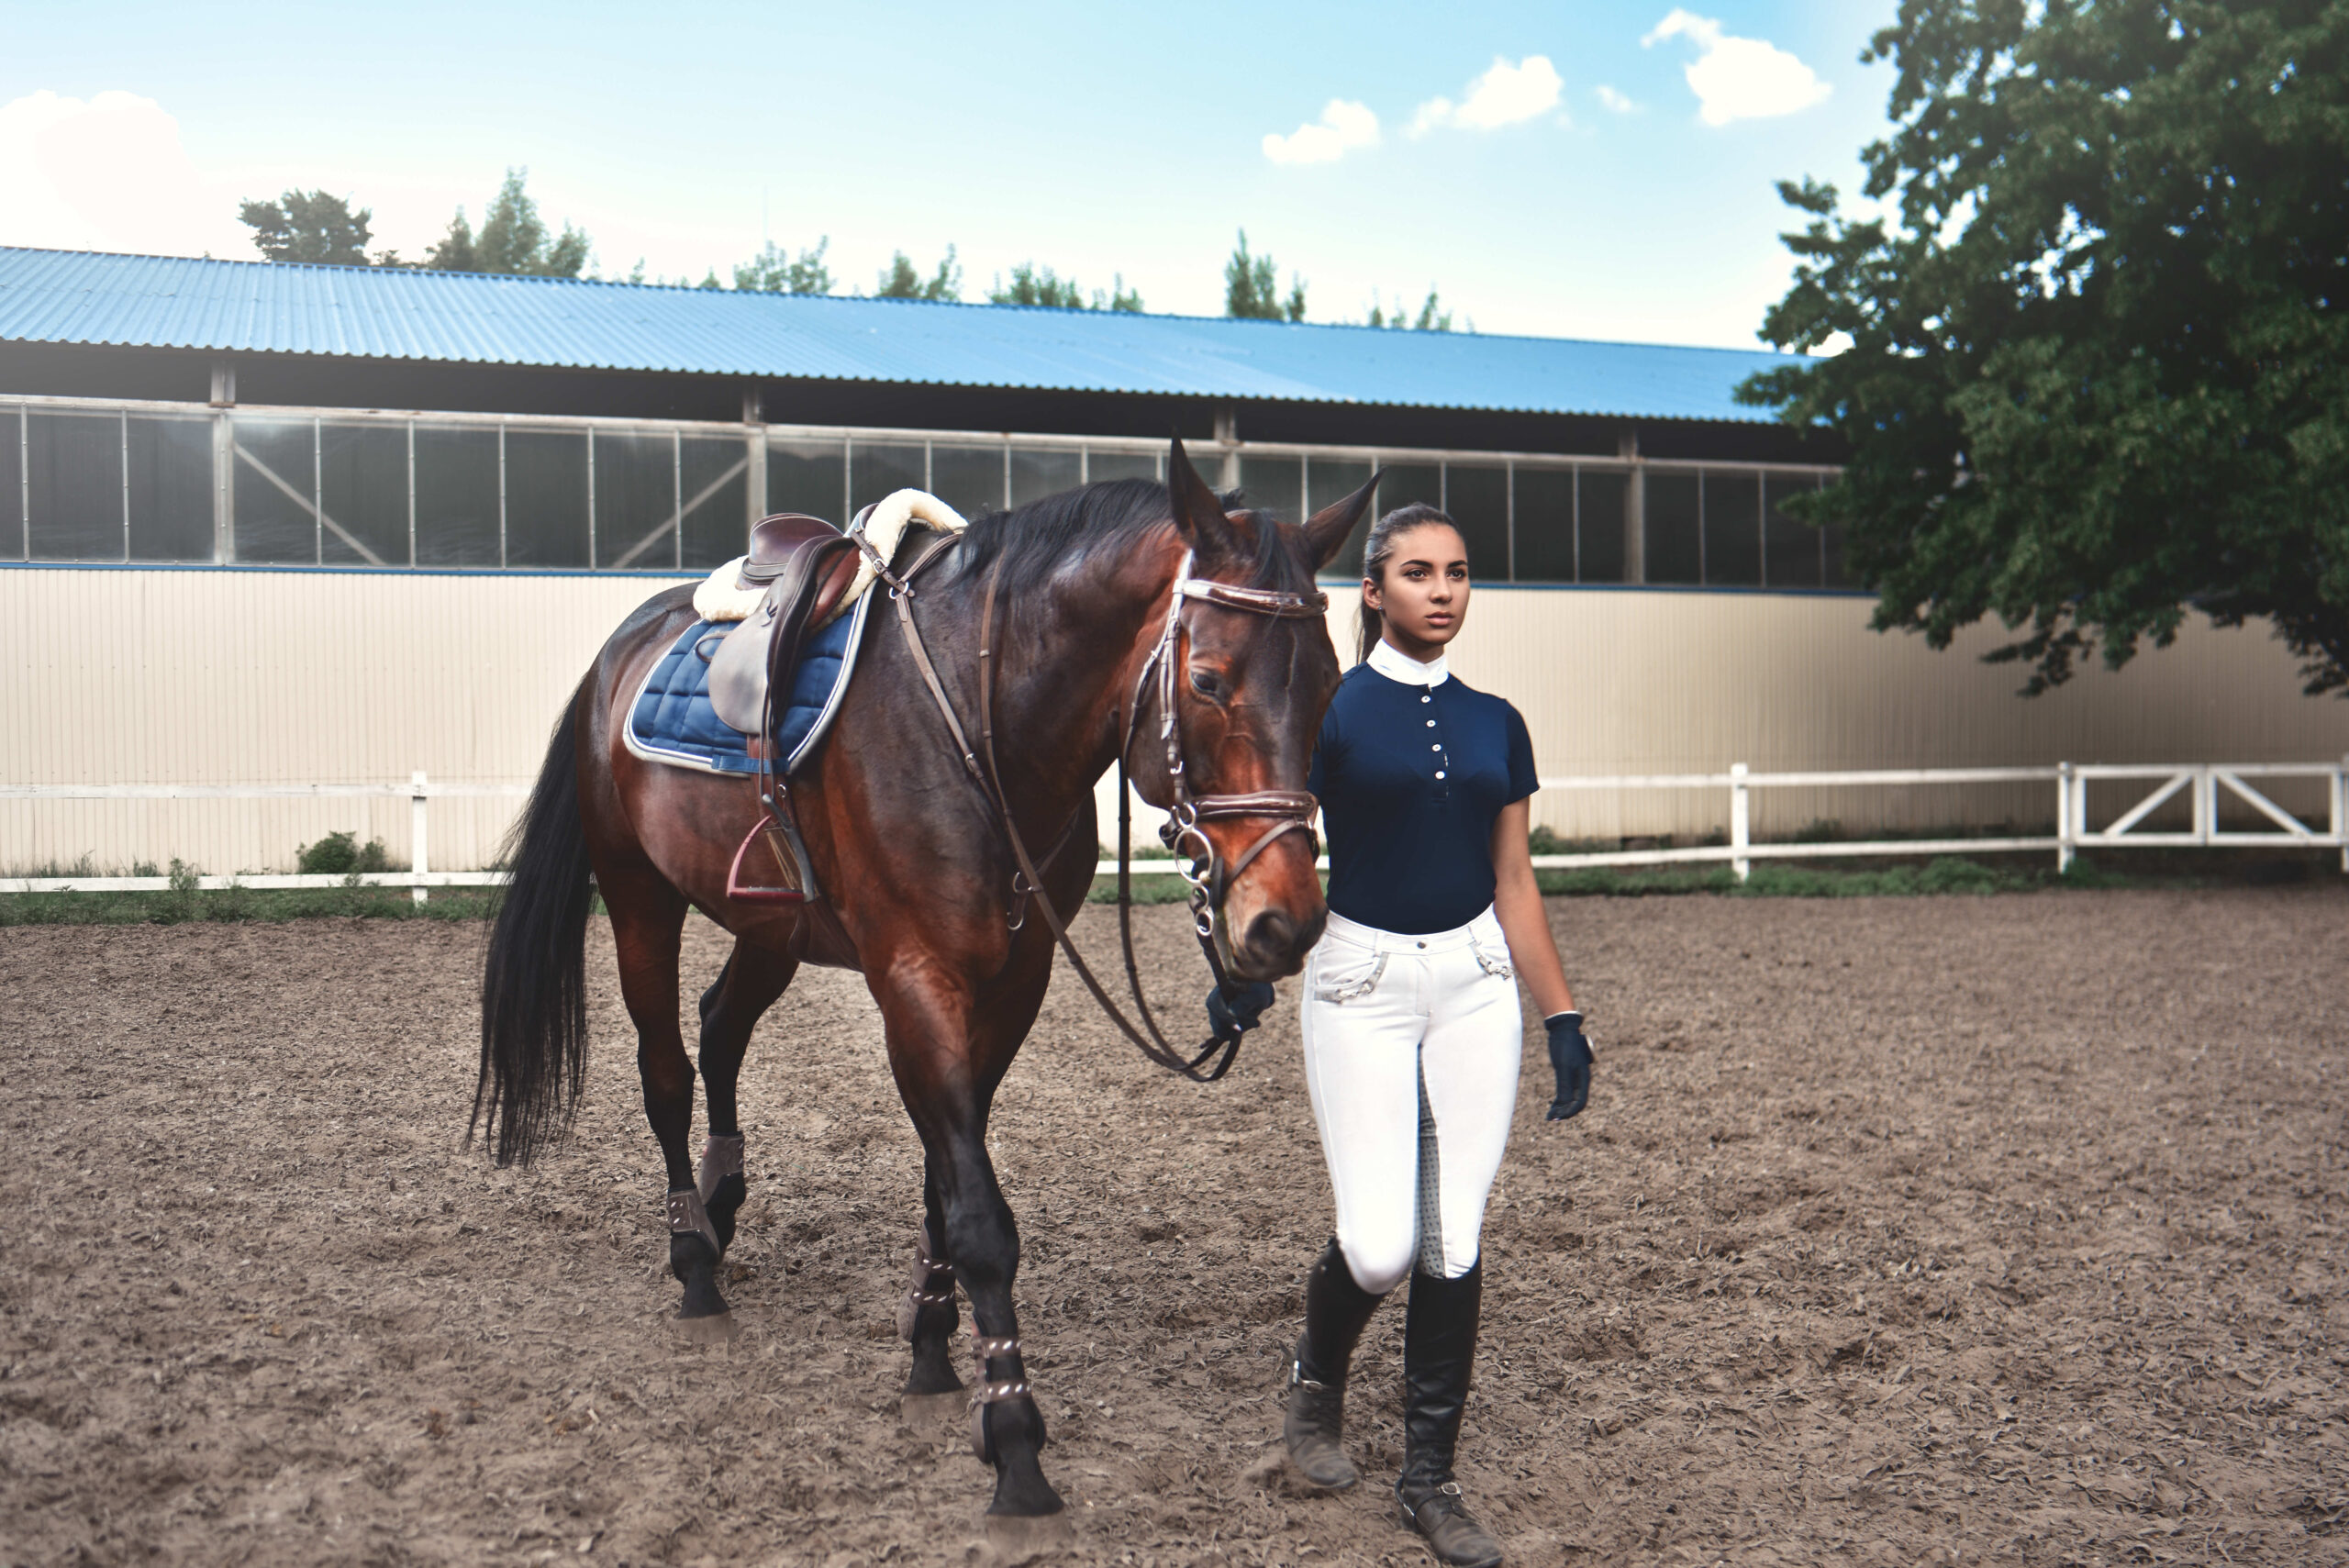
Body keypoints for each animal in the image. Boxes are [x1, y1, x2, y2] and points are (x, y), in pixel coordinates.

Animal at [470, 440, 1372, 1520]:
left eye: (1330, 685)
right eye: (1206, 676)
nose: (1286, 920)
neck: (986, 731)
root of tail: (621, 647)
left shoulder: (1015, 980)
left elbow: (949, 1174)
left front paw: (935, 1346)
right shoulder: (914, 976)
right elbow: (979, 1210)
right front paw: (1013, 1437)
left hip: (772, 922)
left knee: (721, 1026)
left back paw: (723, 1208)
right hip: (641, 901)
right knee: (667, 1071)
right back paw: (694, 1263)